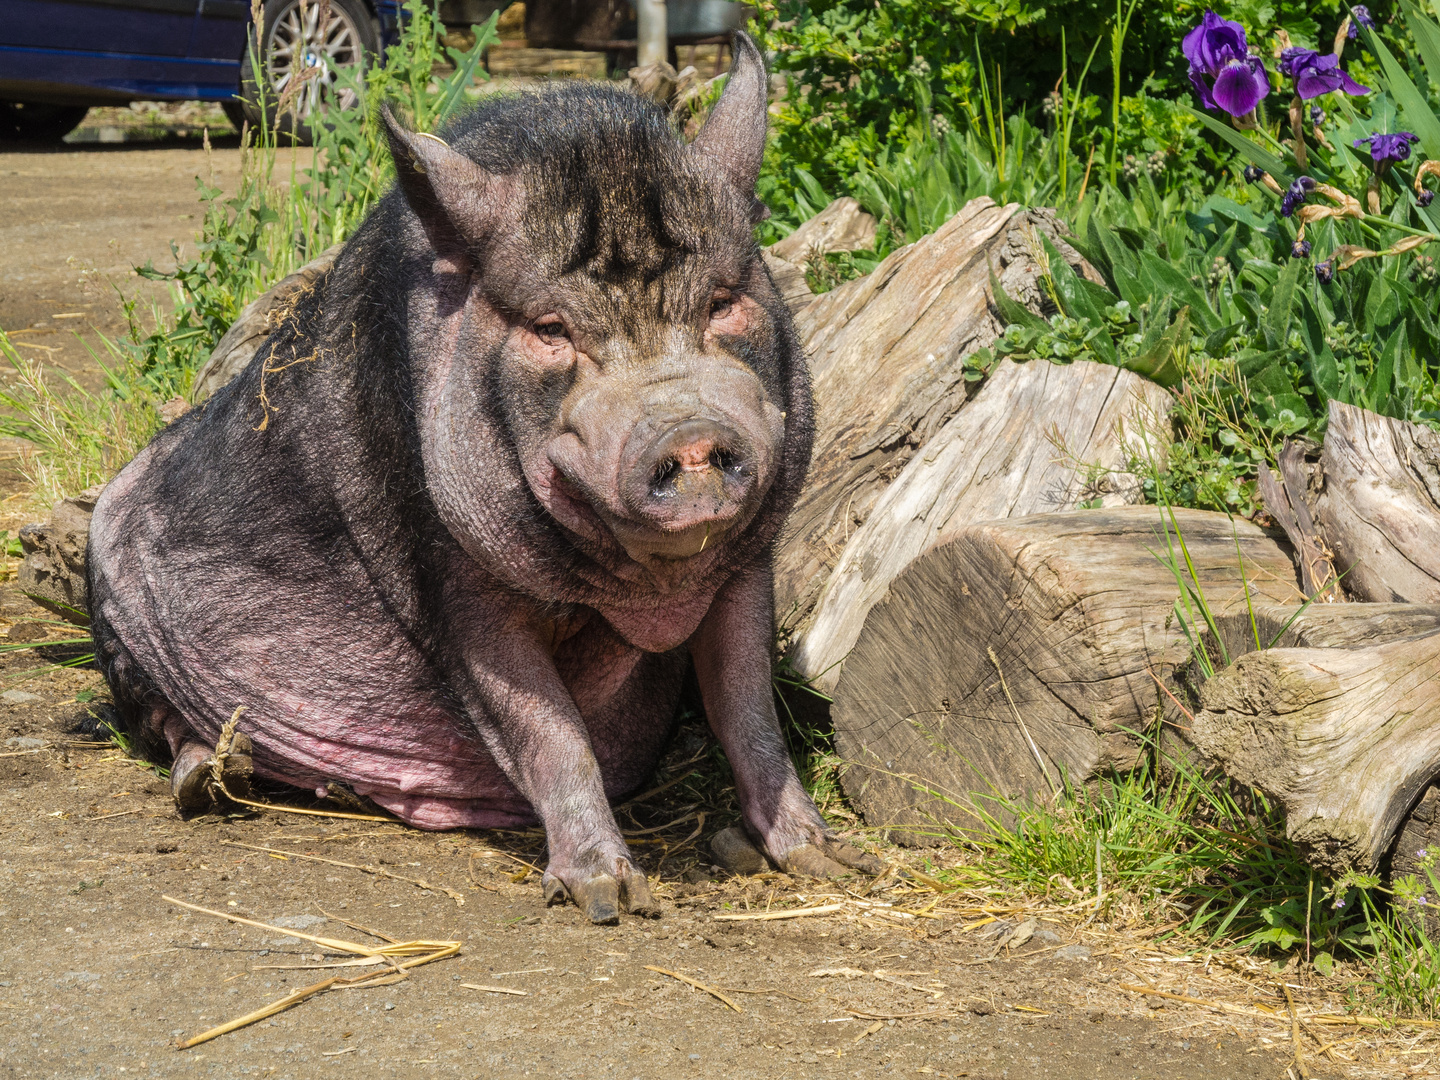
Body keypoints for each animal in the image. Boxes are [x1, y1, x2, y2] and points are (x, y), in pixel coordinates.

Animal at [90, 36, 881, 933]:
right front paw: (609, 900)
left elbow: (748, 709)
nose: (685, 431)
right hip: (111, 609)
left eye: (721, 301)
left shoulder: (749, 565)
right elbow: (548, 729)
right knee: (155, 720)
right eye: (549, 329)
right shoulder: (445, 571)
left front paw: (834, 862)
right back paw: (209, 781)